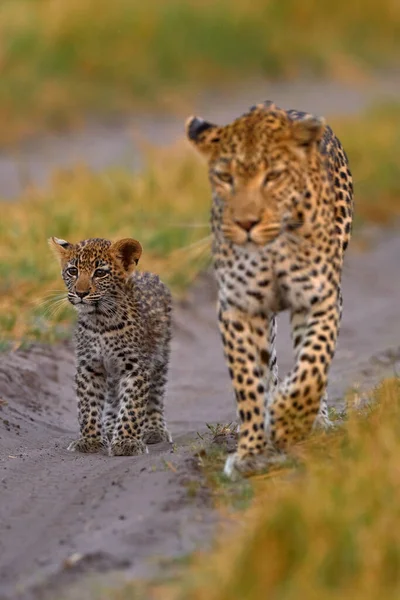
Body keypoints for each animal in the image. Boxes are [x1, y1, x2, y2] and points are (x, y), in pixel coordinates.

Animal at [185, 102, 354, 478]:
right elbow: (248, 383)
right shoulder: (238, 308)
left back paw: (313, 419)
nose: (246, 223)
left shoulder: (320, 298)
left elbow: (313, 365)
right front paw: (251, 451)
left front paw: (289, 420)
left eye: (273, 176)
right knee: (270, 364)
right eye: (225, 178)